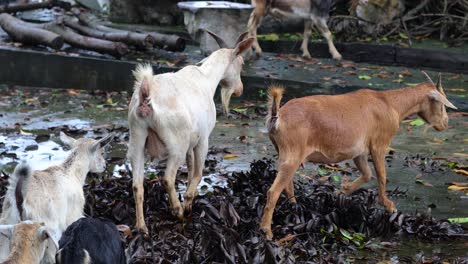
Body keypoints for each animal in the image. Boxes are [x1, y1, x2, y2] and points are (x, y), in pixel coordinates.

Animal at [0, 133, 111, 262]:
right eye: (102, 152)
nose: (104, 166)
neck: (72, 172)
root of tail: (19, 197)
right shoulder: (74, 215)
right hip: (47, 233)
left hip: (8, 229)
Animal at [126, 31, 254, 233]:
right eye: (241, 63)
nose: (240, 90)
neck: (207, 79)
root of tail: (146, 99)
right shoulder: (203, 140)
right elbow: (198, 172)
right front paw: (186, 204)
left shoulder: (190, 144)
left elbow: (191, 169)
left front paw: (188, 201)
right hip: (175, 143)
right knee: (168, 178)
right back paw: (176, 210)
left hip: (137, 136)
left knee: (137, 185)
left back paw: (142, 227)